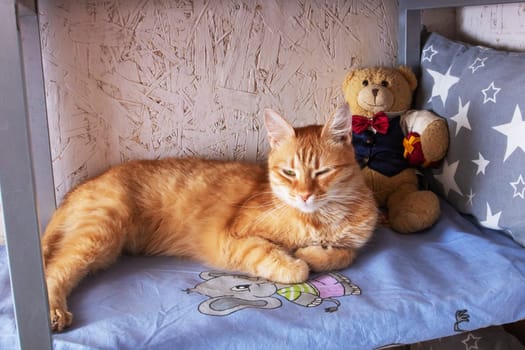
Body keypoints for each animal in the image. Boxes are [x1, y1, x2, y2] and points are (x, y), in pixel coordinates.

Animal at [42, 105, 376, 332]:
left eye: (322, 172)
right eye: (289, 173)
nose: (305, 195)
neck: (320, 218)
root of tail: (81, 186)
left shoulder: (352, 243)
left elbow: (344, 255)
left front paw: (315, 252)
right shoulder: (232, 239)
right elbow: (291, 266)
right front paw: (298, 260)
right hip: (99, 235)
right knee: (54, 271)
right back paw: (55, 312)